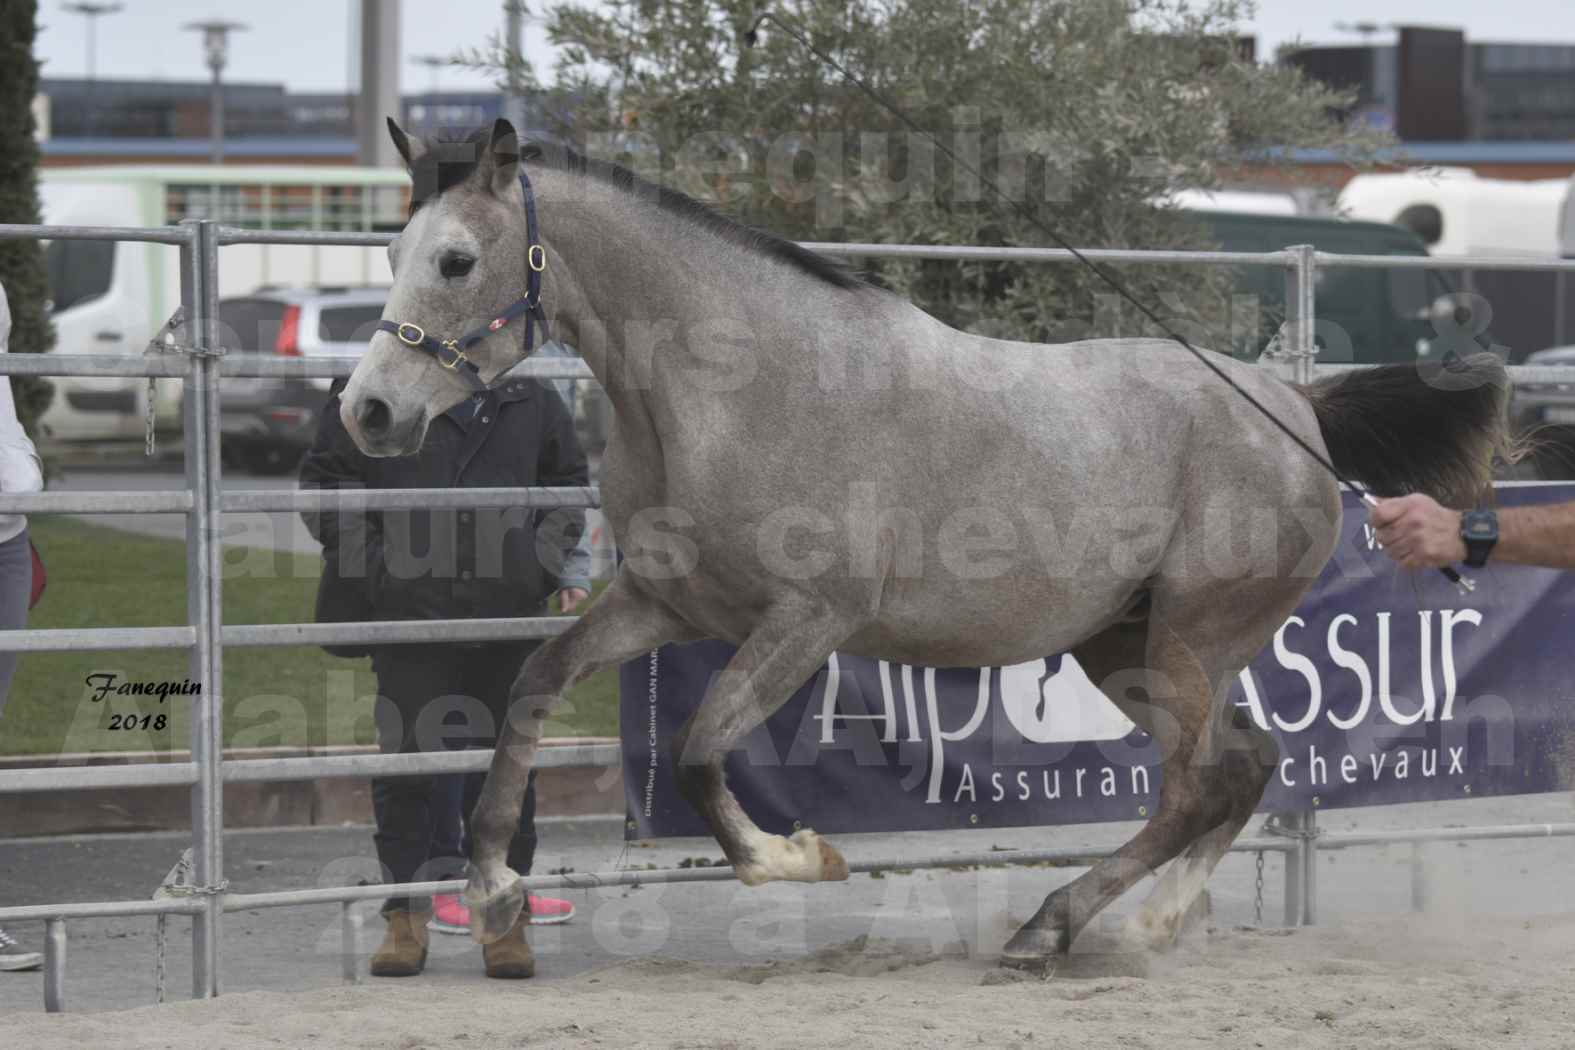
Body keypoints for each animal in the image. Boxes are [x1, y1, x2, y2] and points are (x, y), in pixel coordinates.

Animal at [338, 118, 1505, 963]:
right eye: (392, 249)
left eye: (456, 259)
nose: (368, 413)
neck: (730, 391)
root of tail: (1297, 407)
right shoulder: (665, 604)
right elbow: (534, 684)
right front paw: (494, 889)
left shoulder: (808, 621)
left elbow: (702, 752)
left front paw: (801, 859)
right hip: (1123, 646)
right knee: (1245, 766)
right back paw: (1149, 923)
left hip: (1189, 639)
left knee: (1195, 784)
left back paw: (1053, 927)